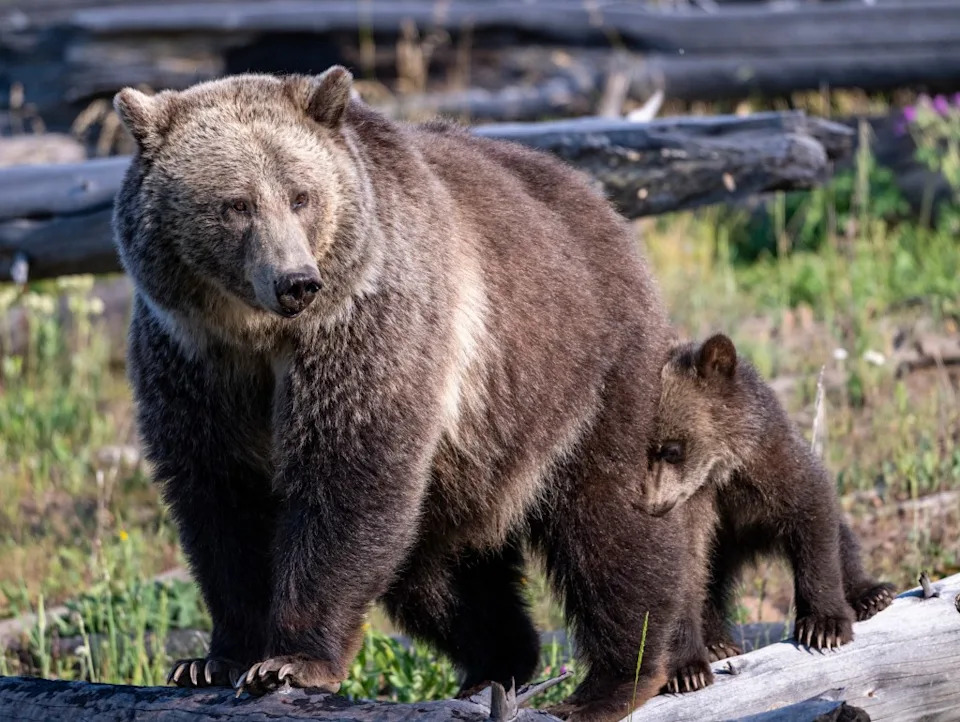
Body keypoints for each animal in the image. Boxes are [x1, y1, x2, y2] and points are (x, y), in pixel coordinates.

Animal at [112, 66, 697, 720]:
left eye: (301, 196)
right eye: (236, 204)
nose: (296, 282)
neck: (259, 335)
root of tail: (602, 205)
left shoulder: (366, 327)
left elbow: (347, 472)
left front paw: (290, 661)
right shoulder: (193, 363)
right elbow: (220, 498)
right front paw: (213, 659)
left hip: (583, 370)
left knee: (611, 524)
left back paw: (620, 677)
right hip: (469, 461)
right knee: (438, 575)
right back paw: (495, 666)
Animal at [638, 334, 895, 693]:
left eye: (672, 449)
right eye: (639, 450)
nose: (651, 504)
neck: (722, 472)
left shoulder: (774, 463)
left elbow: (814, 517)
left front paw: (824, 626)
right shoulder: (695, 507)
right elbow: (685, 571)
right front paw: (687, 670)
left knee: (843, 539)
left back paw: (872, 594)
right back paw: (718, 644)